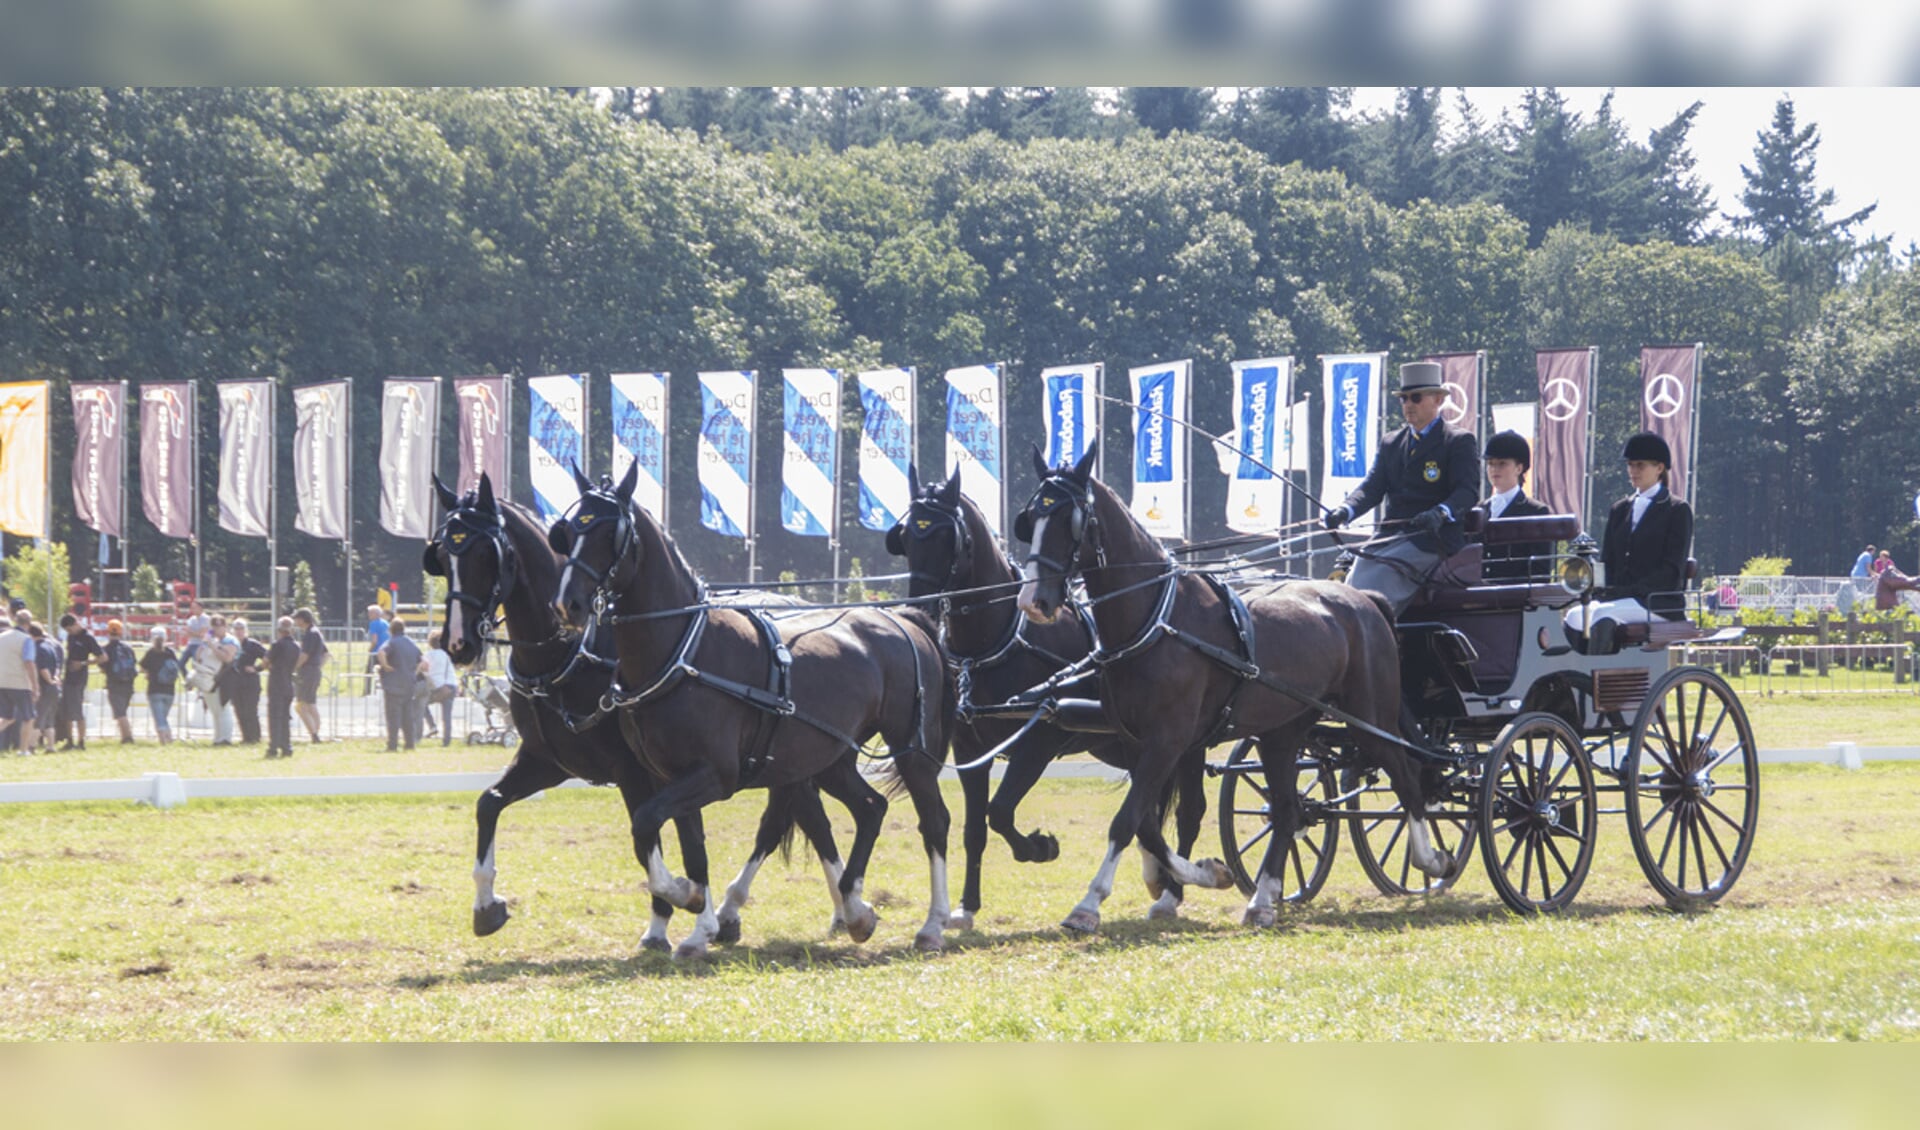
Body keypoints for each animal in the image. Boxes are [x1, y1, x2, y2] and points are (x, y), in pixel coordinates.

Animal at [432, 470, 852, 951]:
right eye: (441, 553)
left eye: (486, 552)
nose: (458, 642)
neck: (569, 651)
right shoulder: (546, 761)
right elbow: (489, 803)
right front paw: (487, 906)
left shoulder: (634, 770)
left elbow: (649, 839)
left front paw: (667, 917)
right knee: (801, 817)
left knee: (804, 818)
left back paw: (830, 908)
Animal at [552, 460, 956, 951]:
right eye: (570, 529)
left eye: (610, 530)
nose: (568, 604)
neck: (684, 649)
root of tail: (904, 619)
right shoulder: (670, 776)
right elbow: (690, 849)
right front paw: (698, 924)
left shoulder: (715, 775)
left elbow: (647, 823)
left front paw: (686, 898)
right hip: (830, 757)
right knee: (870, 808)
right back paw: (856, 910)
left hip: (911, 749)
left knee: (933, 820)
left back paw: (933, 923)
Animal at [887, 466, 1213, 924]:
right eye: (905, 537)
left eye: (948, 536)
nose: (920, 609)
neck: (997, 641)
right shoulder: (970, 750)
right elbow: (975, 829)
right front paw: (967, 906)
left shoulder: (1040, 741)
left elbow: (1000, 812)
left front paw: (1039, 848)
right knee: (1152, 810)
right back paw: (1159, 875)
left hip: (1182, 742)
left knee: (1188, 811)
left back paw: (1174, 889)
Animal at [1021, 445, 1443, 928]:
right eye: (1030, 517)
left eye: (1069, 519)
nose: (1033, 602)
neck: (1158, 619)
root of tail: (1367, 602)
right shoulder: (1147, 743)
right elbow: (1154, 822)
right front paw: (1196, 877)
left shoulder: (1167, 741)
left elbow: (1128, 820)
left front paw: (1090, 904)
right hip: (1284, 732)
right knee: (1287, 809)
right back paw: (1262, 899)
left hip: (1369, 718)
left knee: (1406, 777)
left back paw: (1431, 861)